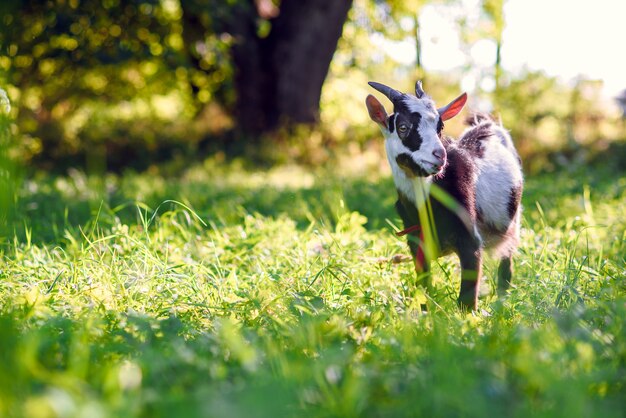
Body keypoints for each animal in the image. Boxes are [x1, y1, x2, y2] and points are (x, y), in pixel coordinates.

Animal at [364, 81, 520, 310]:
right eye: (403, 127)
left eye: (440, 128)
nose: (440, 155)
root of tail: (487, 124)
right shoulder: (416, 243)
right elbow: (424, 287)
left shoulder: (471, 241)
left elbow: (466, 299)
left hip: (513, 223)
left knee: (506, 262)